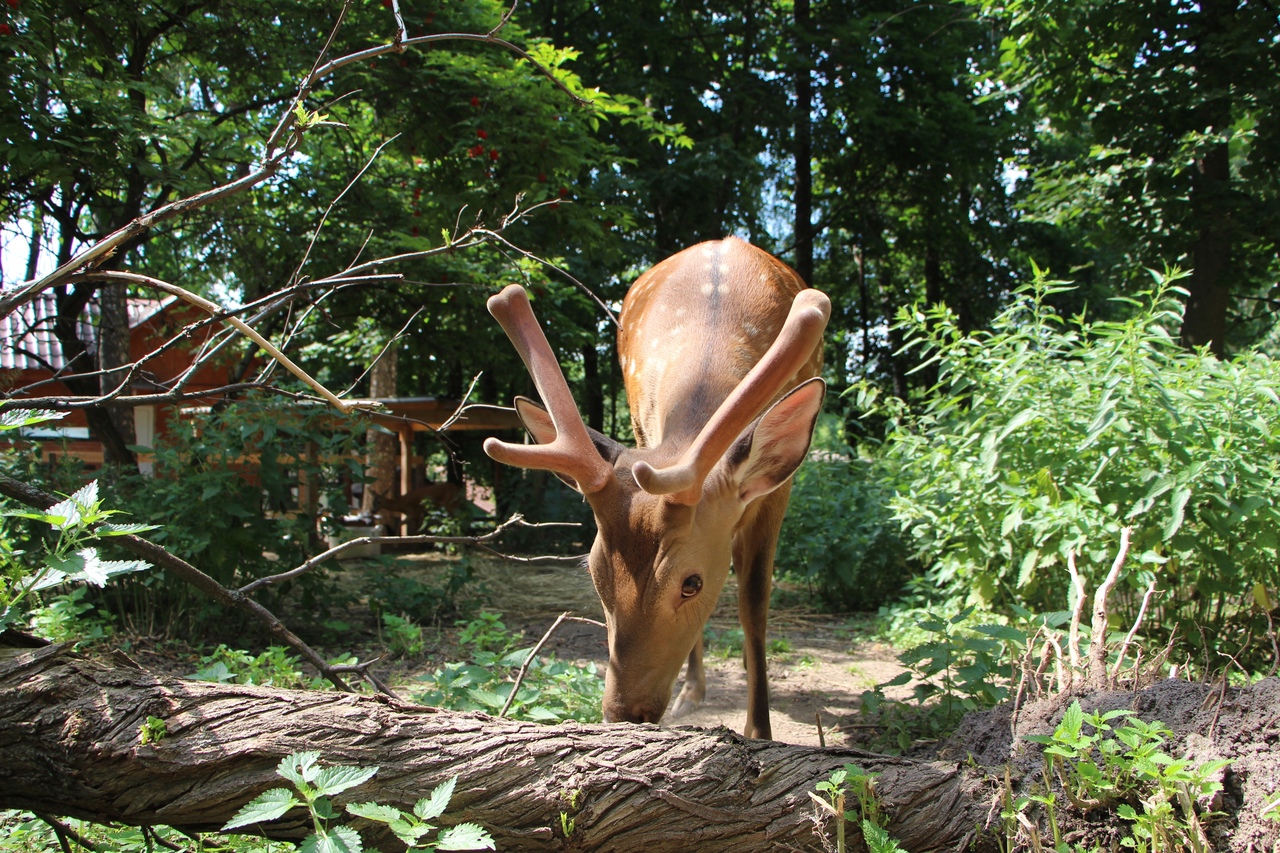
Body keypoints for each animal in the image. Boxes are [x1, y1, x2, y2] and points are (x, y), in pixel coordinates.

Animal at [481, 235, 829, 732]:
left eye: (692, 584)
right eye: (594, 572)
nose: (625, 714)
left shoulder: (777, 490)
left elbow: (754, 602)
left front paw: (758, 729)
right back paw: (692, 691)